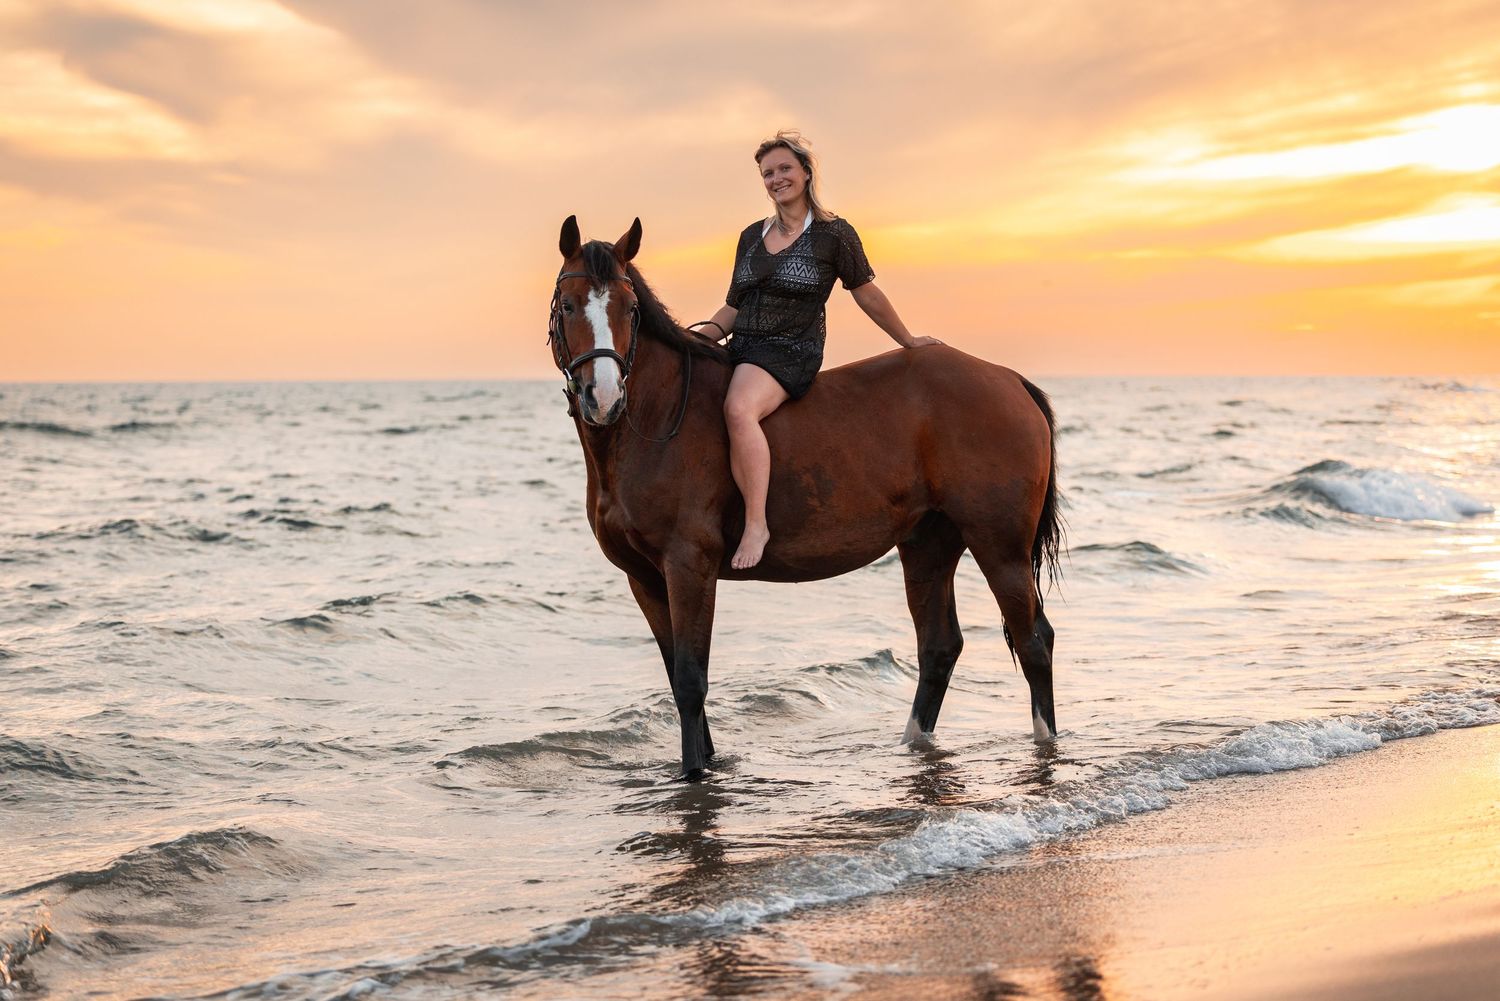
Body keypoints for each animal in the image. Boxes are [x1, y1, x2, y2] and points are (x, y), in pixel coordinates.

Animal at [547, 216, 1062, 780]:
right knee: (940, 646)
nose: (604, 397)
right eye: (568, 304)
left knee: (1034, 641)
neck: (656, 420)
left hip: (1000, 548)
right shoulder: (643, 577)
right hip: (929, 544)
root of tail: (1008, 379)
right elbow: (678, 676)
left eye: (629, 308)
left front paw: (695, 775)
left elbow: (689, 680)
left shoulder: (688, 567)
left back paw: (1045, 746)